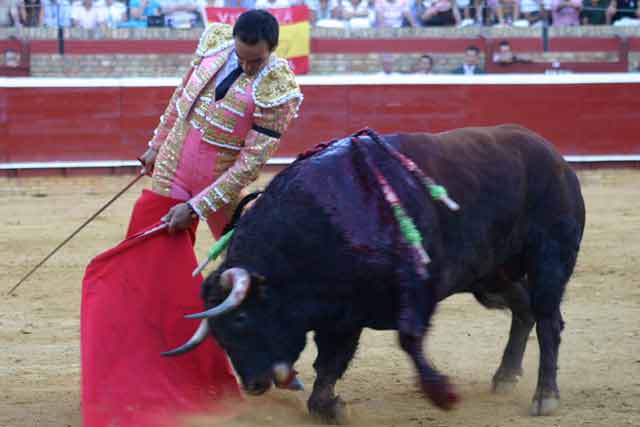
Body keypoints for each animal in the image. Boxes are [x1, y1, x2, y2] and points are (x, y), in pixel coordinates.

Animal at [164, 125, 584, 422]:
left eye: (242, 318)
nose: (252, 386)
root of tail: (556, 159)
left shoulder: (415, 290)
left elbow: (407, 340)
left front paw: (442, 394)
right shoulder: (342, 314)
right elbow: (330, 362)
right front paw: (329, 405)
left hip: (549, 259)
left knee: (548, 320)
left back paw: (545, 396)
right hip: (490, 275)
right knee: (524, 309)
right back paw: (505, 376)